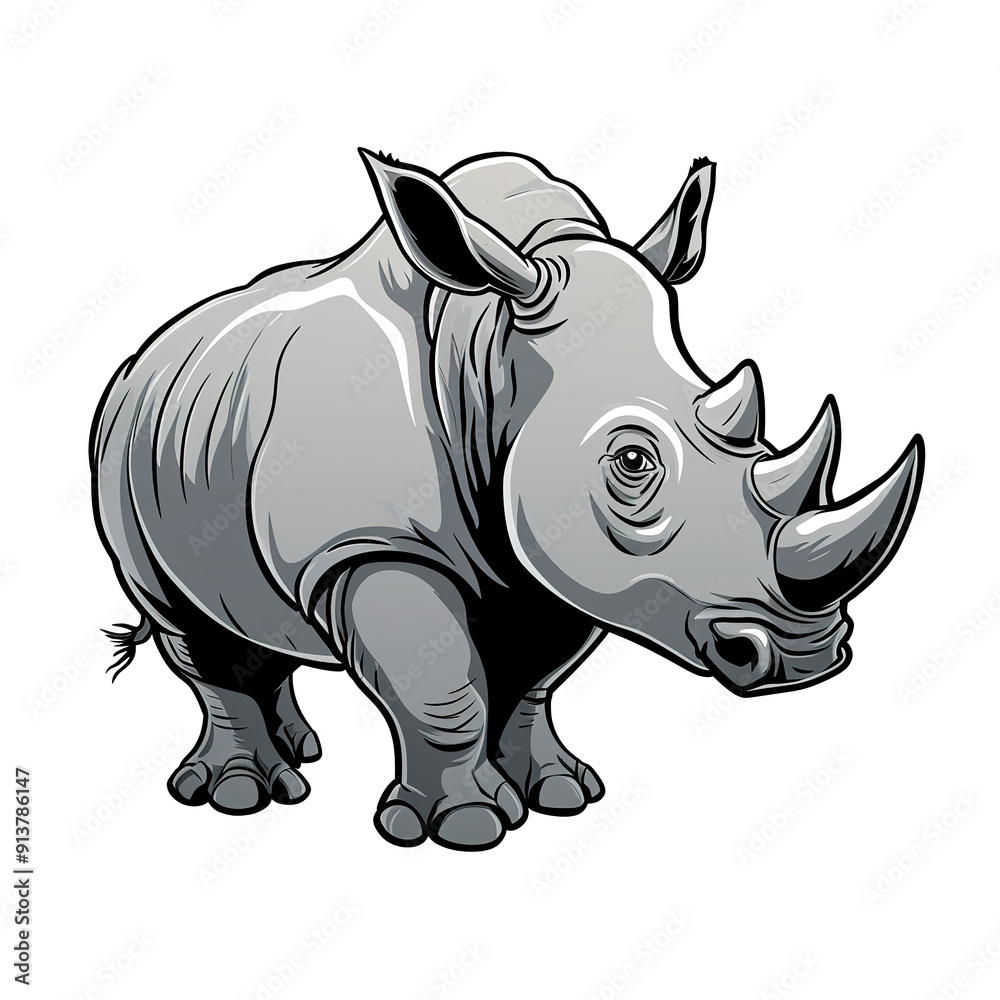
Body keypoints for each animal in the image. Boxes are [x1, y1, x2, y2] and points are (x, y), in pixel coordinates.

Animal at [90, 148, 923, 850]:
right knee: (188, 627)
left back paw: (301, 748)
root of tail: (142, 355)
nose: (804, 656)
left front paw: (558, 795)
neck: (486, 344)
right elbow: (442, 690)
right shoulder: (367, 545)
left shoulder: (547, 555)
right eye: (632, 461)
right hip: (118, 453)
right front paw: (463, 828)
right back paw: (241, 795)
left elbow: (529, 681)